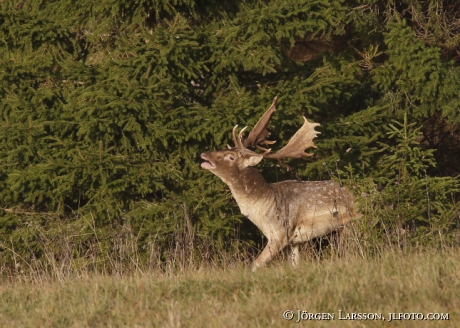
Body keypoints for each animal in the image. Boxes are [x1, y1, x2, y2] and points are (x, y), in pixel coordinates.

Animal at [199, 97, 358, 272]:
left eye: (230, 157)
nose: (204, 154)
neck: (264, 207)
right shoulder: (294, 241)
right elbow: (294, 264)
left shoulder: (280, 233)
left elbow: (255, 264)